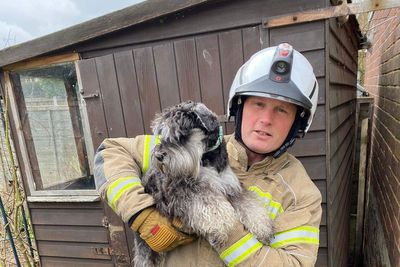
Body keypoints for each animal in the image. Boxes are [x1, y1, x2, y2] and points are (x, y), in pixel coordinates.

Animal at [134, 101, 276, 266]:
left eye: (181, 135)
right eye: (162, 134)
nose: (158, 156)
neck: (208, 158)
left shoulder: (232, 187)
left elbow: (249, 204)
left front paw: (263, 227)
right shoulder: (187, 189)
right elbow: (211, 205)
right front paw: (219, 227)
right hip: (145, 249)